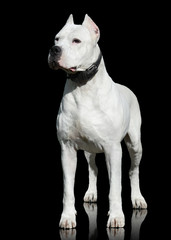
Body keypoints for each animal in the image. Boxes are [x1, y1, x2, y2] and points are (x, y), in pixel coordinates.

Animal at [47, 14, 147, 229]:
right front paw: (67, 217)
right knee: (93, 168)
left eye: (76, 41)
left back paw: (137, 198)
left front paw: (116, 216)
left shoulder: (113, 149)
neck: (83, 87)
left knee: (133, 171)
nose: (54, 50)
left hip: (135, 144)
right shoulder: (67, 148)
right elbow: (68, 188)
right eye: (56, 39)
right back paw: (91, 193)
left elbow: (115, 187)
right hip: (89, 150)